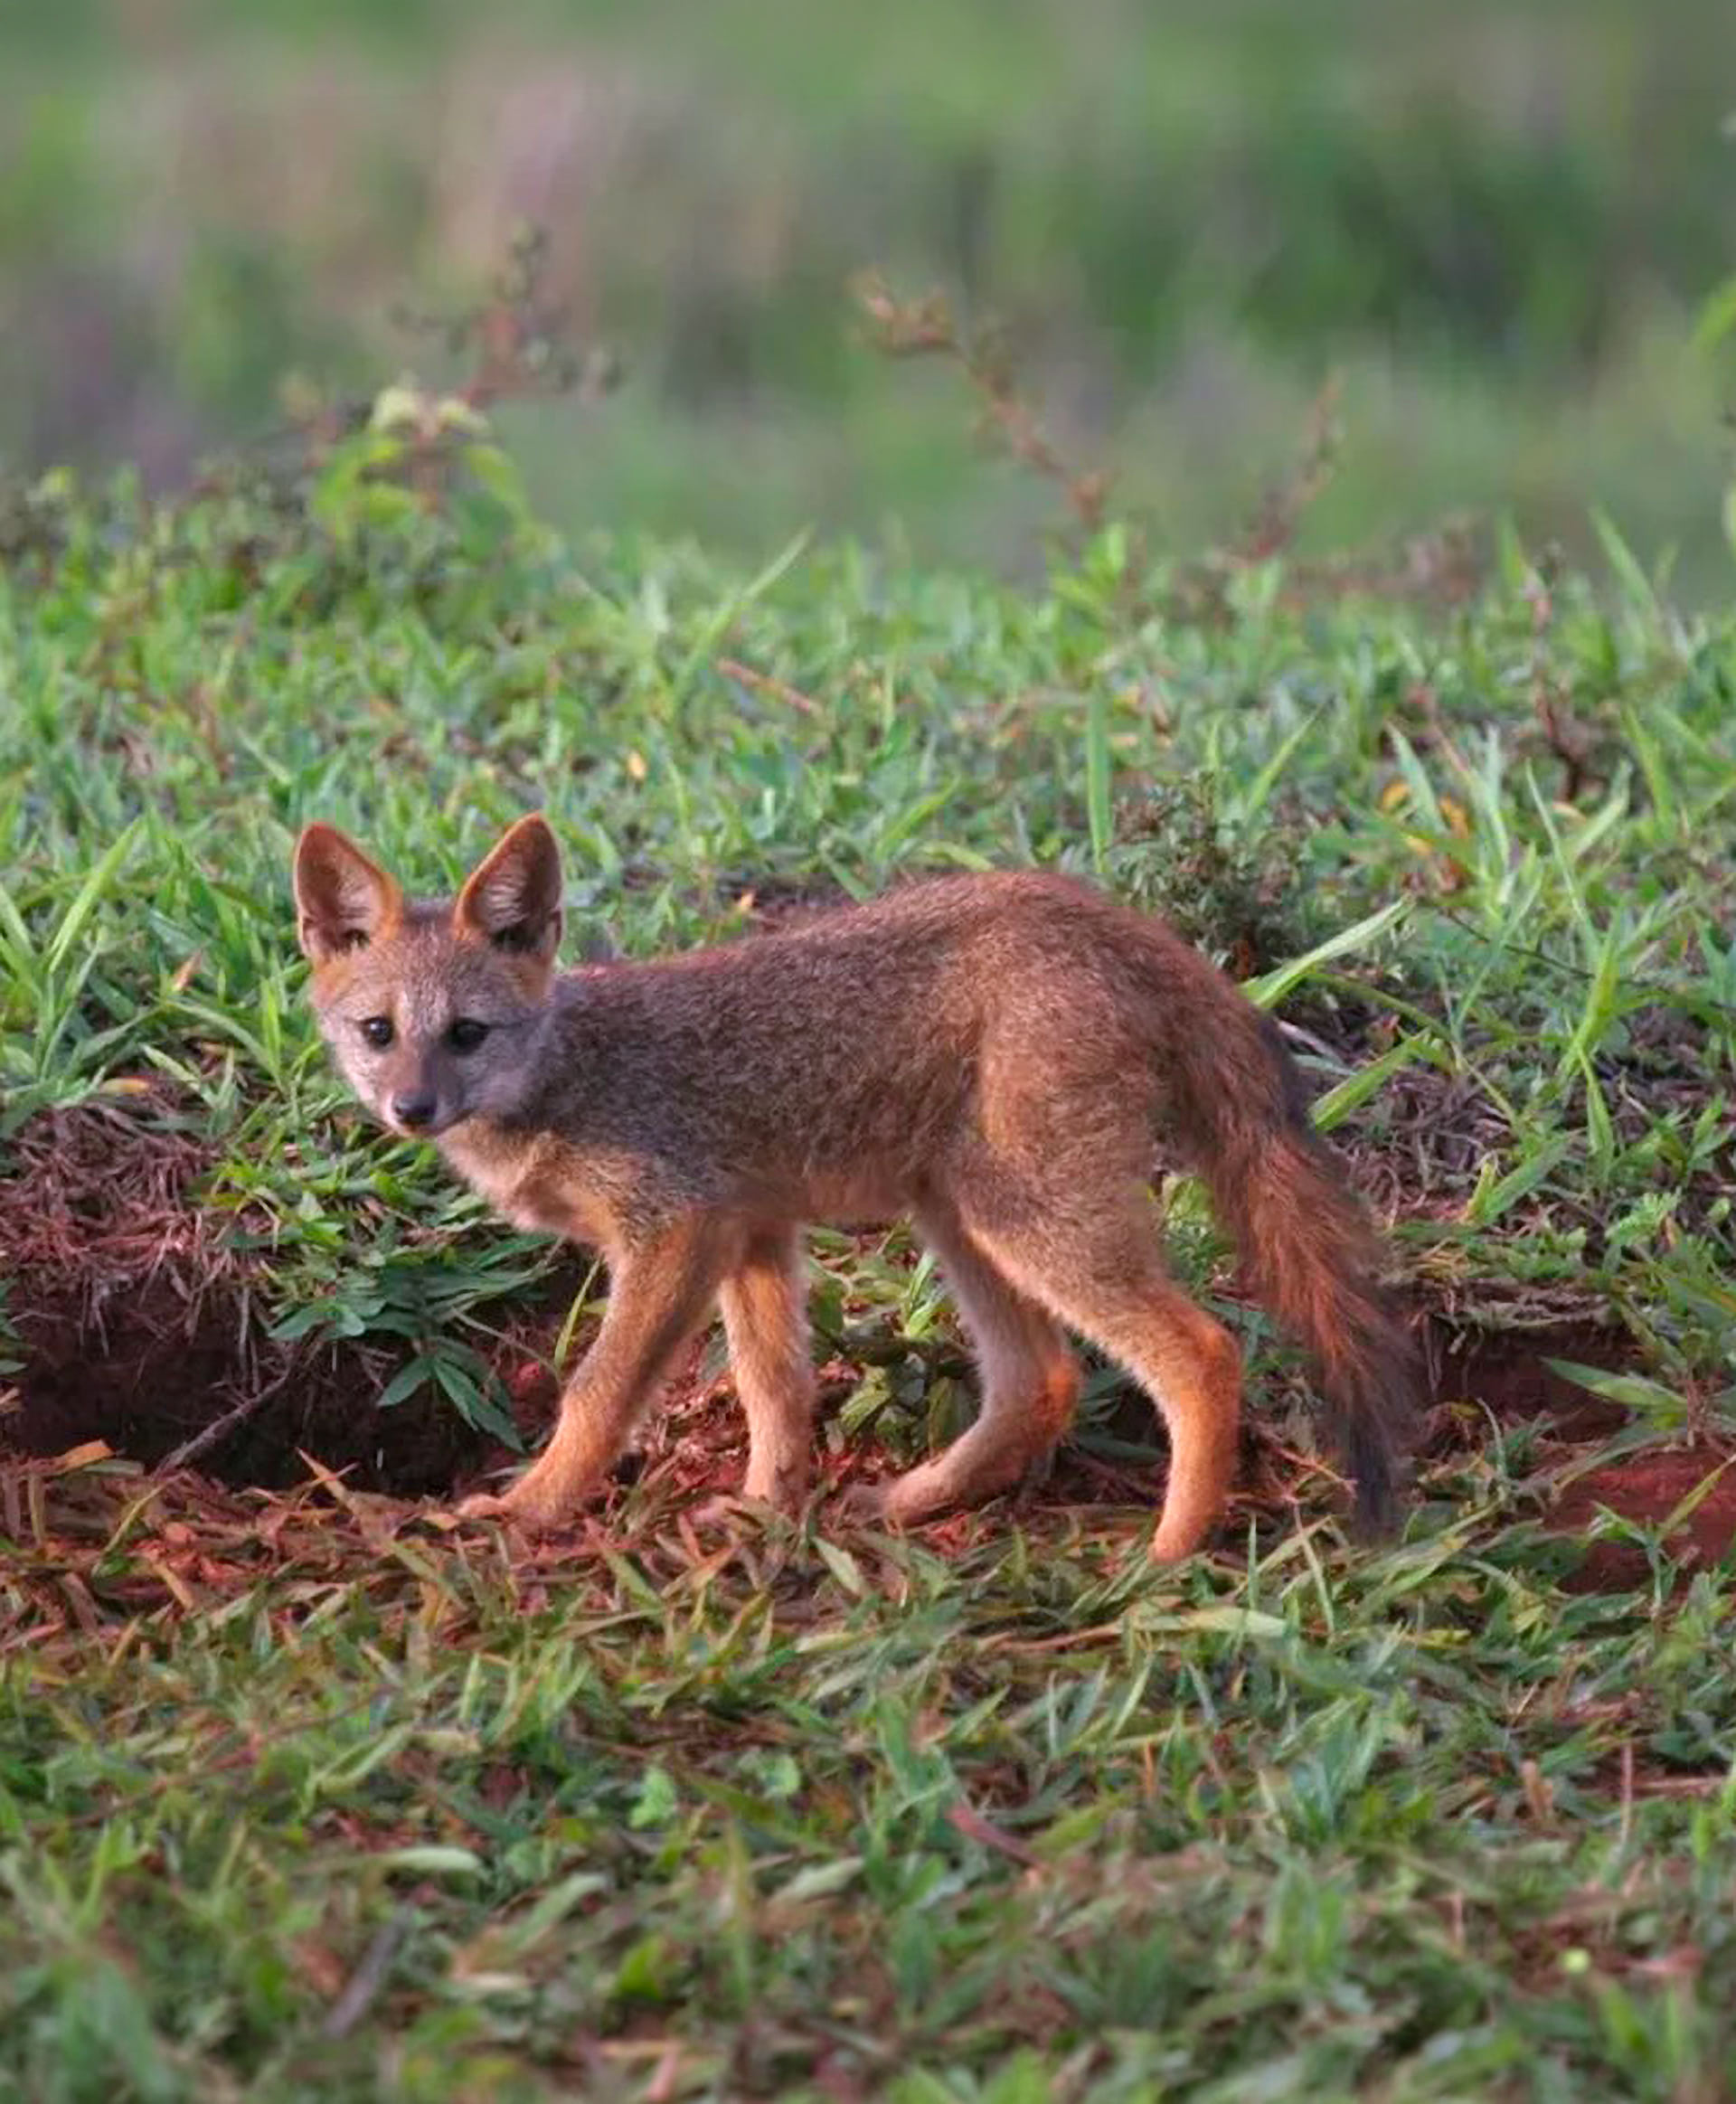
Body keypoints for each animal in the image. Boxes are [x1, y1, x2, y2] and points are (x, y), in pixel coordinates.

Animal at [292, 812, 1420, 1561]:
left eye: (466, 1034)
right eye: (379, 1032)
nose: (412, 1108)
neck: (574, 1071)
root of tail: (1110, 917)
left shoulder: (675, 1230)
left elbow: (599, 1391)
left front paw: (533, 1508)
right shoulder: (751, 1233)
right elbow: (775, 1387)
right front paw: (767, 1507)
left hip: (1028, 1224)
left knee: (1202, 1352)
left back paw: (1172, 1550)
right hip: (965, 1220)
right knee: (1042, 1380)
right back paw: (916, 1500)